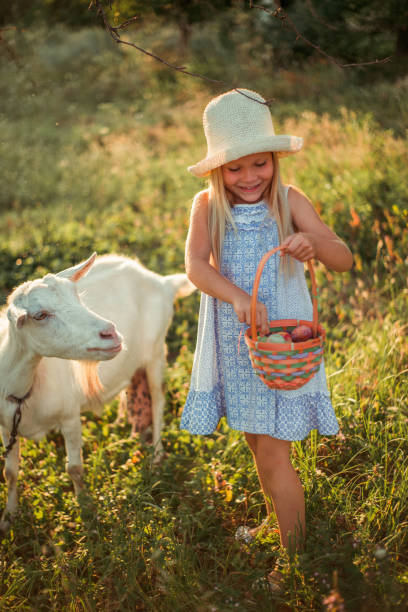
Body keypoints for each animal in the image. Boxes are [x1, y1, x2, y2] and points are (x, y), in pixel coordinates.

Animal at [0, 251, 194, 528]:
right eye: (40, 315)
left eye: (77, 296)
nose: (110, 332)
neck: (23, 389)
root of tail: (162, 282)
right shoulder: (7, 426)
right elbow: (10, 472)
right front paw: (8, 518)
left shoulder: (70, 416)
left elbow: (74, 469)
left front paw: (87, 514)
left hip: (156, 350)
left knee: (158, 401)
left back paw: (157, 458)